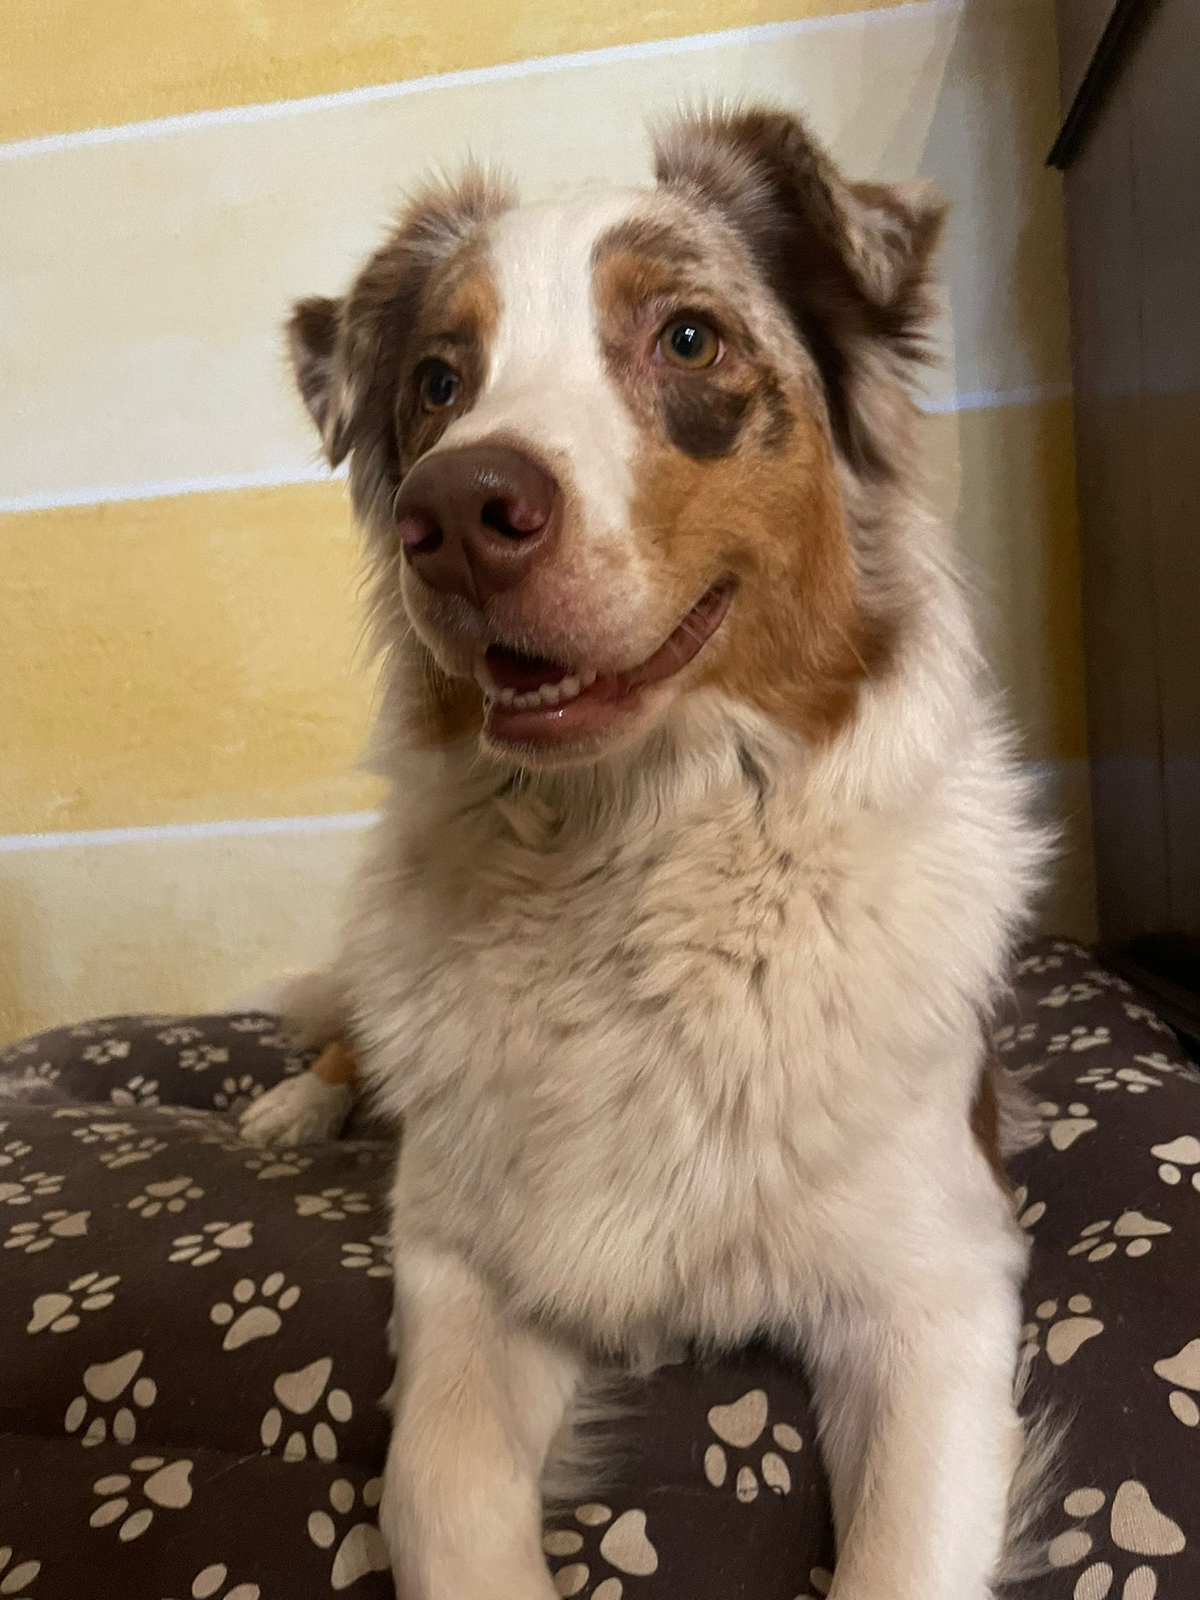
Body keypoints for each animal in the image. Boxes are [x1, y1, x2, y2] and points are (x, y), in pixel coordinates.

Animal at [240, 105, 1048, 1600]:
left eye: (687, 339)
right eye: (438, 380)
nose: (454, 512)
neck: (635, 859)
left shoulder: (941, 1289)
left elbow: (900, 1560)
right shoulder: (459, 1268)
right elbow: (437, 1492)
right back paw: (292, 1103)